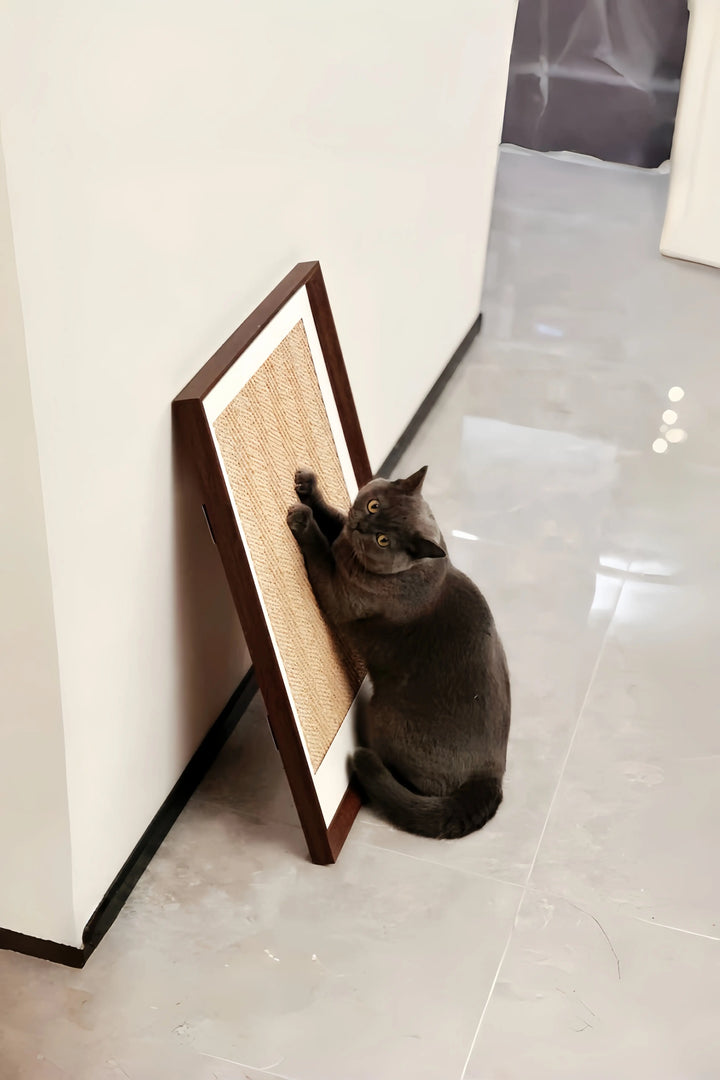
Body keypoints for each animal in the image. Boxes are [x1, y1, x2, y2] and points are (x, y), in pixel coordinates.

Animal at [287, 468, 511, 838]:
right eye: (373, 505)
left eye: (383, 541)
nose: (363, 526)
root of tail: (491, 778)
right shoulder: (344, 537)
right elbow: (333, 517)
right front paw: (307, 486)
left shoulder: (339, 593)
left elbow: (320, 549)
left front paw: (302, 520)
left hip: (385, 715)